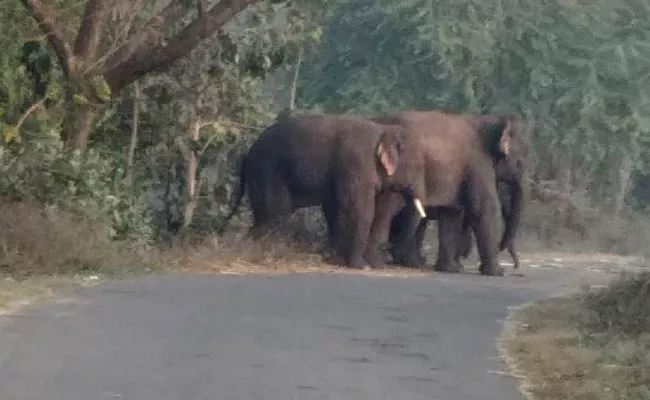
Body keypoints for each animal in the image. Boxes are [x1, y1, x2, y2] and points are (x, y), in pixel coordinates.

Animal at [218, 113, 428, 268]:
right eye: (419, 167)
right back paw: (260, 253)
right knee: (275, 215)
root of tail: (247, 155)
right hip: (266, 172)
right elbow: (358, 209)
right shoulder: (355, 165)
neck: (384, 130)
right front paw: (361, 267)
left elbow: (348, 209)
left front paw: (341, 260)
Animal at [364, 111, 528, 276]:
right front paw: (497, 272)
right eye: (520, 161)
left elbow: (452, 212)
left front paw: (451, 269)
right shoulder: (478, 163)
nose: (515, 267)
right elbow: (484, 208)